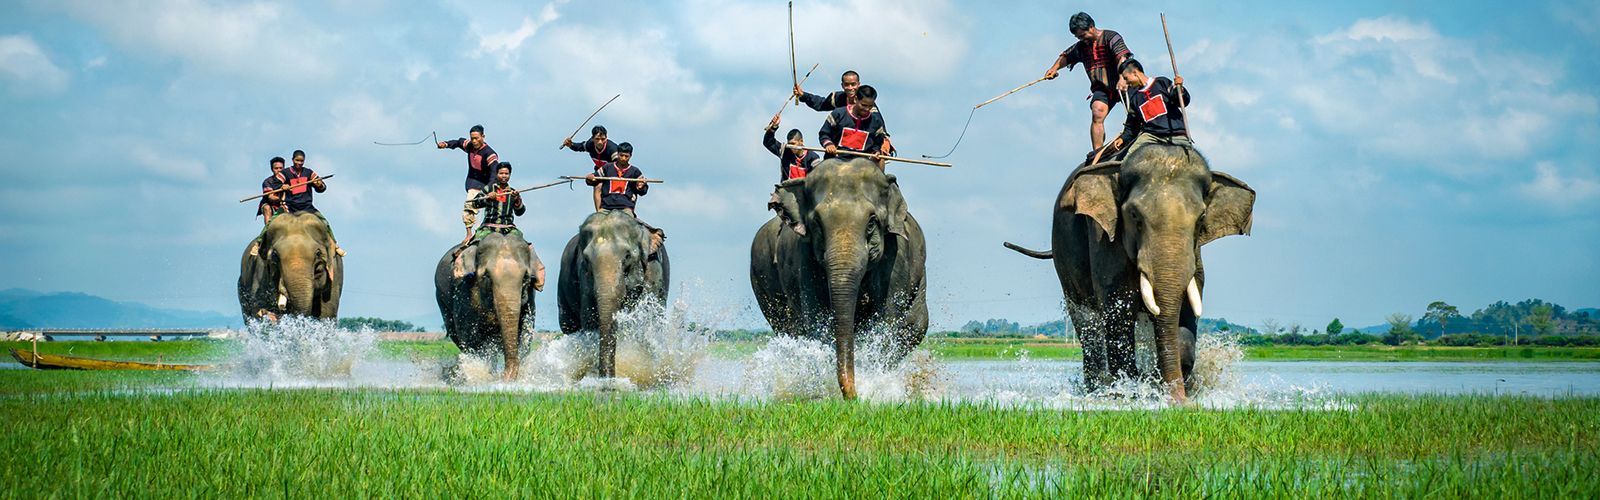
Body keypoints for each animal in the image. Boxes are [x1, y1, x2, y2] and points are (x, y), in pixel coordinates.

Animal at [432, 232, 544, 381]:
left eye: (526, 278)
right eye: (487, 276)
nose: (506, 377)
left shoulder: (530, 300)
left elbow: (526, 334)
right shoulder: (464, 291)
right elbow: (470, 338)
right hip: (441, 299)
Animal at [556, 209, 668, 378]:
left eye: (627, 256)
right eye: (586, 259)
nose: (608, 378)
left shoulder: (653, 266)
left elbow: (648, 318)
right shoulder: (583, 275)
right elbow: (590, 318)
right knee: (569, 326)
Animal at [745, 157, 928, 400]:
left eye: (872, 222)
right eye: (816, 223)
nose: (854, 397)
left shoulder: (897, 256)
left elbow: (887, 319)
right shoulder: (805, 259)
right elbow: (817, 318)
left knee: (915, 325)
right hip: (760, 280)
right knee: (786, 327)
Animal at [1004, 142, 1254, 400]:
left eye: (1202, 217)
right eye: (1134, 215)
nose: (1179, 400)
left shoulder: (1195, 254)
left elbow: (1186, 314)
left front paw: (1163, 387)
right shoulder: (1105, 235)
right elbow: (1118, 312)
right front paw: (1130, 392)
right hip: (1064, 253)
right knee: (1087, 325)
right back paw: (1096, 389)